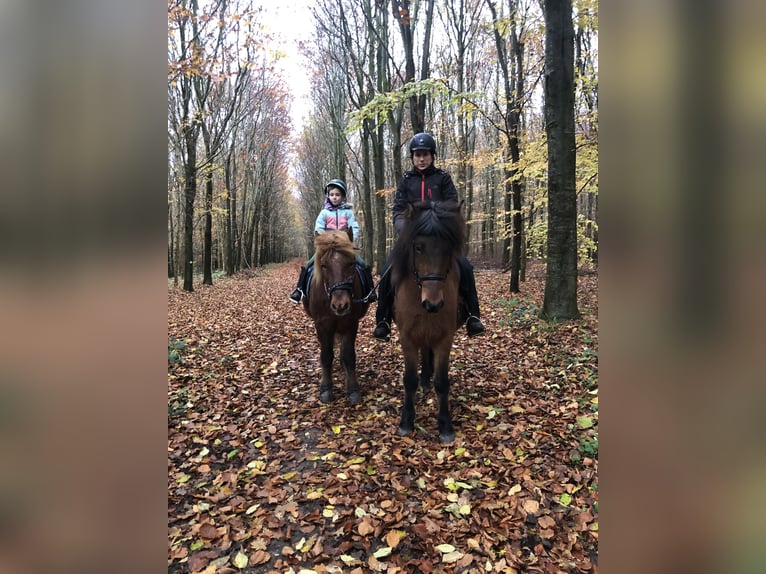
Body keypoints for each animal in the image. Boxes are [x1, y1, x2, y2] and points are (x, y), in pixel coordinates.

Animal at [303, 229, 371, 405]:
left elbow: (349, 356)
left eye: (351, 263)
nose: (341, 305)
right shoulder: (321, 325)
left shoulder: (350, 324)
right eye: (324, 265)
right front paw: (326, 389)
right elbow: (326, 356)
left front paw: (353, 389)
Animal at [389, 200, 467, 443]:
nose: (433, 304)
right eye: (418, 247)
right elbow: (409, 380)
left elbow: (442, 382)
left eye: (448, 248)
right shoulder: (407, 338)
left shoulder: (445, 338)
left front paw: (445, 426)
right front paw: (406, 422)